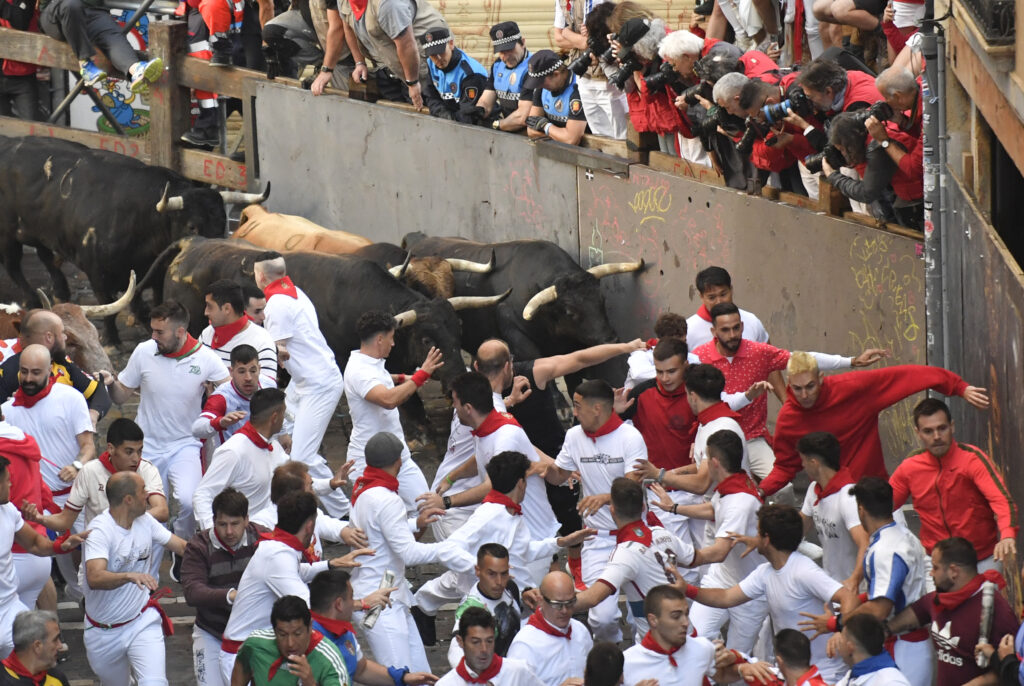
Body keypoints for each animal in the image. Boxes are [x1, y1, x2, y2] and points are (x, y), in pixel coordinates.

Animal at [0, 136, 268, 344]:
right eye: (192, 225)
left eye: (223, 224)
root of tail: (10, 143)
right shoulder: (97, 273)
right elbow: (108, 305)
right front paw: (112, 340)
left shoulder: (151, 272)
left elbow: (148, 302)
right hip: (8, 235)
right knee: (13, 266)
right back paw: (31, 298)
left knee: (46, 257)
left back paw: (60, 292)